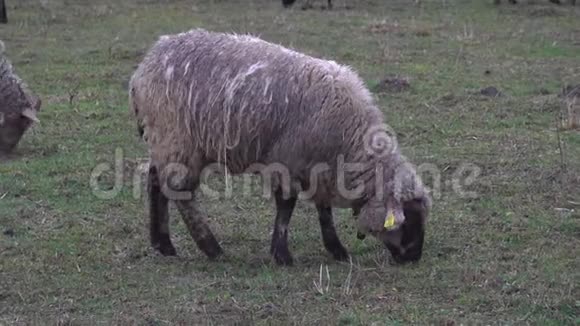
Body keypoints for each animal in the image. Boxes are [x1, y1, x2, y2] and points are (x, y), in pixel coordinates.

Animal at [130, 28, 430, 266]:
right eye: (408, 220)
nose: (413, 257)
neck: (351, 137)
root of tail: (144, 66)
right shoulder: (287, 161)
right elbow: (286, 207)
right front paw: (282, 255)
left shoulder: (319, 168)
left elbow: (324, 211)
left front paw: (337, 250)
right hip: (177, 138)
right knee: (179, 191)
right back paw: (210, 247)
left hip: (165, 141)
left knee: (155, 180)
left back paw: (163, 244)